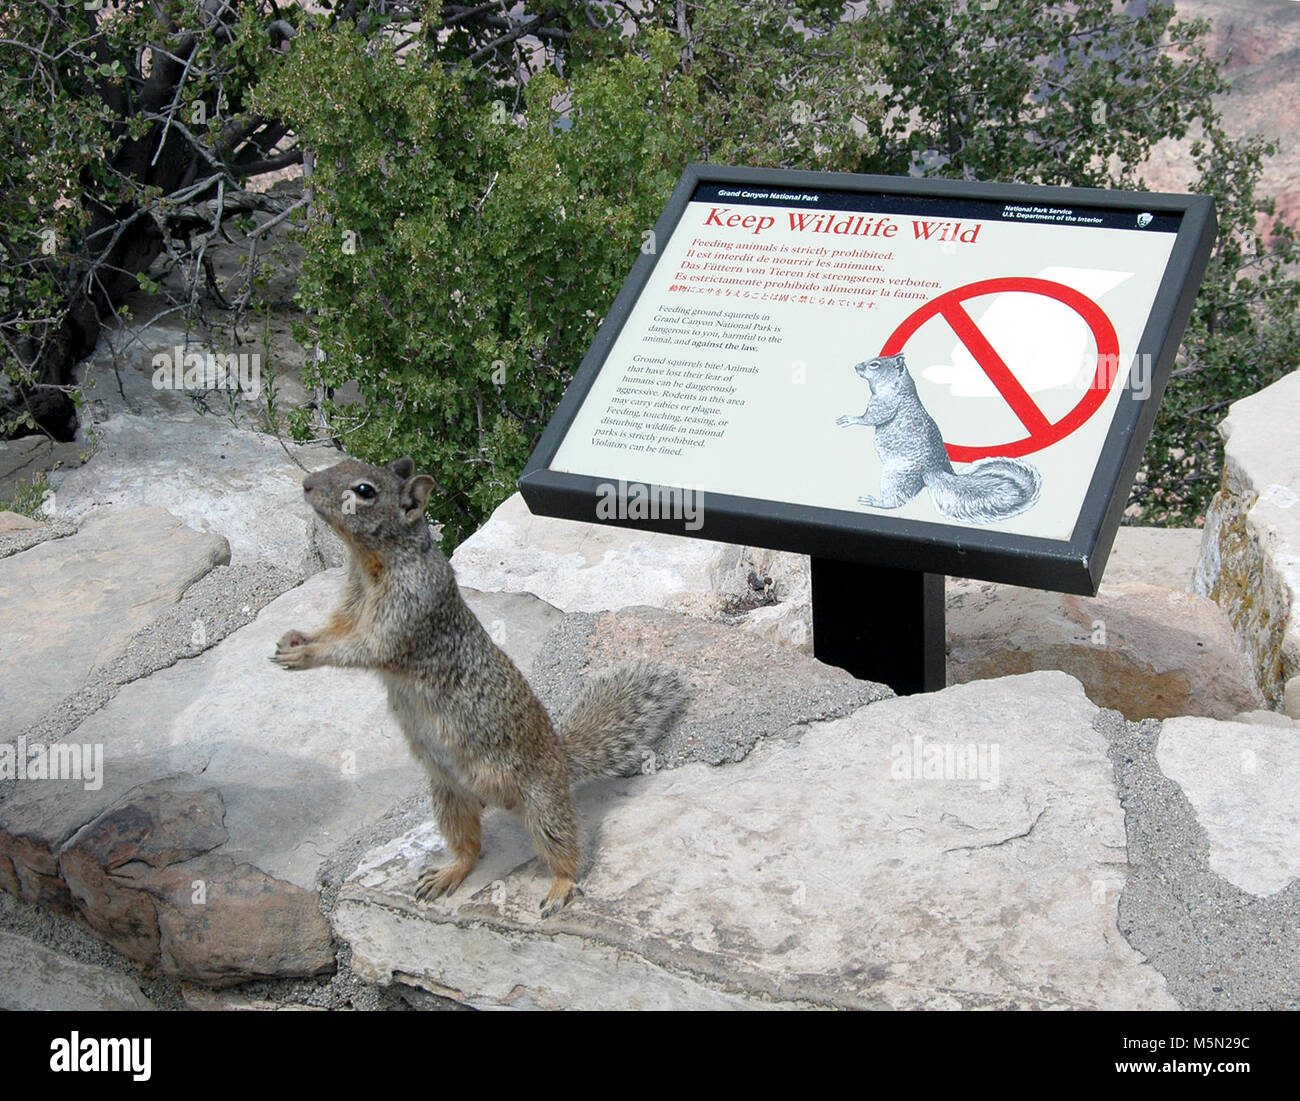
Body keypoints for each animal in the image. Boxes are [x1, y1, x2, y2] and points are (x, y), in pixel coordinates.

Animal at [271, 457, 690, 917]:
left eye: (364, 490)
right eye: (341, 464)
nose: (307, 485)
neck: (368, 565)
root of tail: (562, 759)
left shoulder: (407, 615)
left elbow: (363, 649)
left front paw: (305, 656)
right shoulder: (348, 609)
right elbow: (332, 631)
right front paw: (294, 639)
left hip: (542, 804)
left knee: (566, 848)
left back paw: (559, 888)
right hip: (448, 797)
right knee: (470, 847)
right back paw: (446, 873)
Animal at [836, 353, 1042, 524]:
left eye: (875, 364)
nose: (856, 366)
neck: (900, 385)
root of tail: (932, 471)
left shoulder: (885, 403)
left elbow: (872, 417)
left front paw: (850, 419)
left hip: (895, 477)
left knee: (895, 501)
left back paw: (874, 502)